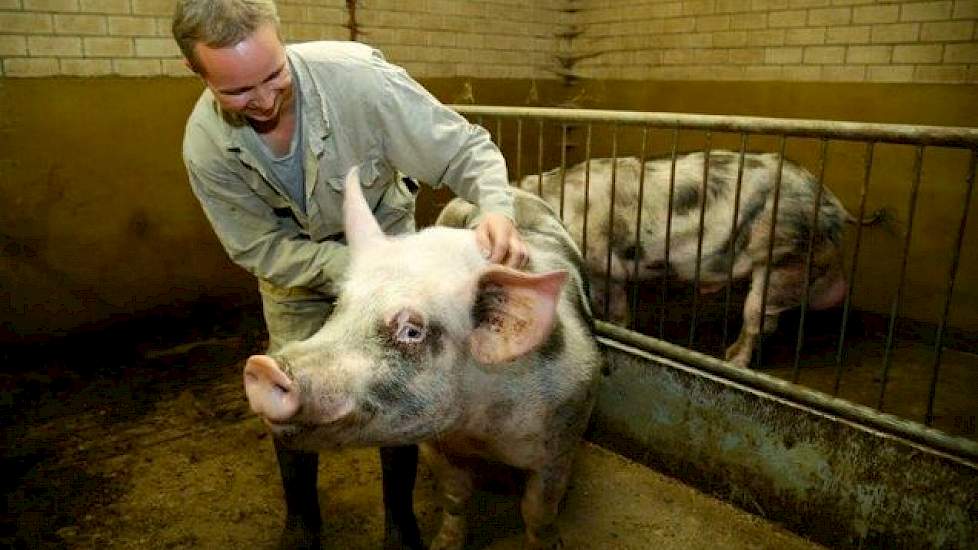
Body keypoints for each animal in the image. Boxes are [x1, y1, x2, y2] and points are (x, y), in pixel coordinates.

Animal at [244, 168, 604, 550]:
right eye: (339, 306)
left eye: (412, 331)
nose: (263, 366)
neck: (481, 428)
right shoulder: (436, 444)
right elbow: (455, 495)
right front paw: (442, 544)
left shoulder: (563, 437)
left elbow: (538, 512)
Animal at [516, 150, 852, 370]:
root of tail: (831, 203)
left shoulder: (602, 263)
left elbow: (613, 307)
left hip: (784, 253)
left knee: (758, 318)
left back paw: (732, 361)